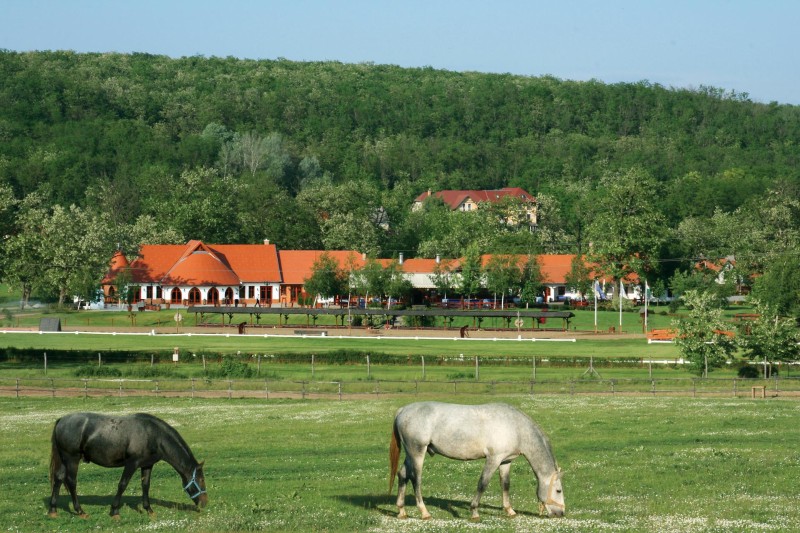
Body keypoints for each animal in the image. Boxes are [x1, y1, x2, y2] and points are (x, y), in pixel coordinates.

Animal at [48, 412, 208, 519]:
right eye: (201, 480)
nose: (204, 502)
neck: (153, 435)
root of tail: (61, 420)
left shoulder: (147, 465)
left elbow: (145, 486)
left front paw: (149, 510)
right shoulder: (132, 464)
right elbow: (122, 484)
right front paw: (115, 511)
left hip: (64, 460)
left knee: (58, 479)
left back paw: (53, 510)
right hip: (72, 459)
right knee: (71, 481)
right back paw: (80, 511)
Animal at [389, 401, 564, 521]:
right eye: (558, 490)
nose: (561, 513)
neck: (516, 428)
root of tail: (402, 410)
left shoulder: (505, 462)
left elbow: (505, 485)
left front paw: (510, 511)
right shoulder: (493, 459)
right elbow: (482, 484)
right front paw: (474, 512)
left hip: (410, 454)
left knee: (402, 474)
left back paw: (401, 511)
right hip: (417, 452)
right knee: (416, 480)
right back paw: (424, 512)